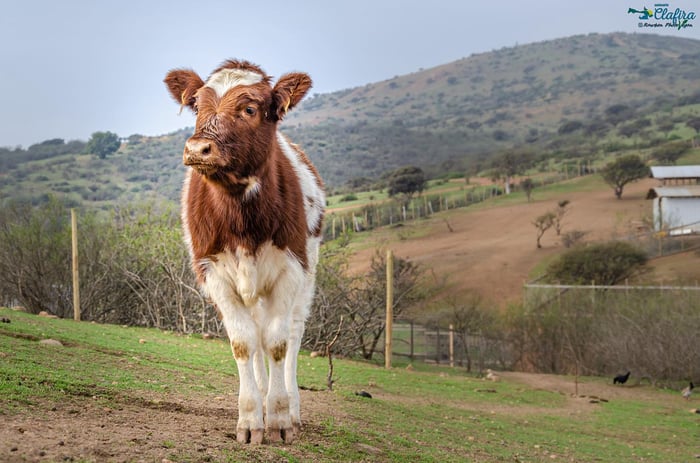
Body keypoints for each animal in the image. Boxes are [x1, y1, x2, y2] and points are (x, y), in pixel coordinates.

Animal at [165, 59, 326, 444]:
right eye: (197, 105)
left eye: (250, 109)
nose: (198, 149)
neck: (241, 216)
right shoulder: (212, 273)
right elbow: (243, 343)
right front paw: (251, 419)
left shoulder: (291, 268)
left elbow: (279, 343)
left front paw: (280, 419)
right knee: (256, 335)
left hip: (307, 275)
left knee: (292, 334)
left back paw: (291, 408)